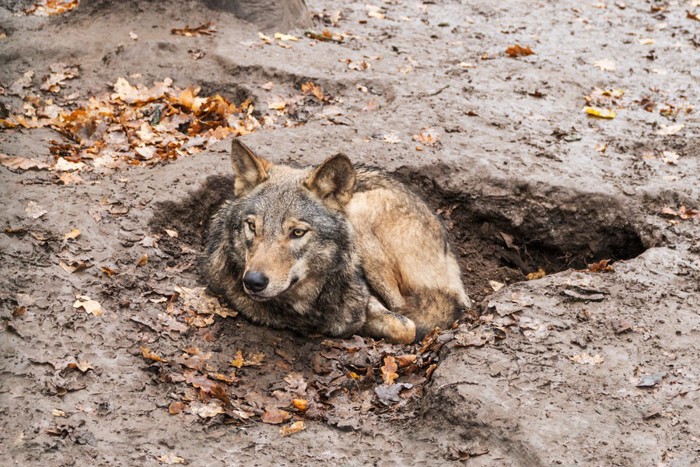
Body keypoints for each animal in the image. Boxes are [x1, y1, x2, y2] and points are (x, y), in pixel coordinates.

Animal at [205, 139, 474, 344]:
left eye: (297, 233)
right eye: (252, 227)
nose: (253, 281)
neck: (308, 306)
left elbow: (405, 328)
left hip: (360, 215)